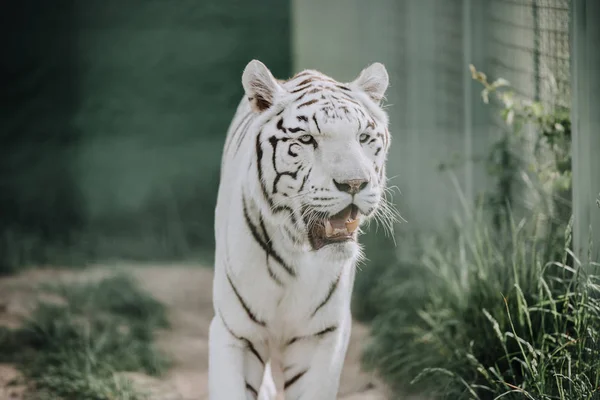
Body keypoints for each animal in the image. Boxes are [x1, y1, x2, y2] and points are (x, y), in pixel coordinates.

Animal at [209, 60, 392, 400]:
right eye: (307, 140)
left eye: (362, 137)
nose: (354, 183)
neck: (295, 252)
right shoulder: (235, 332)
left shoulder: (320, 335)